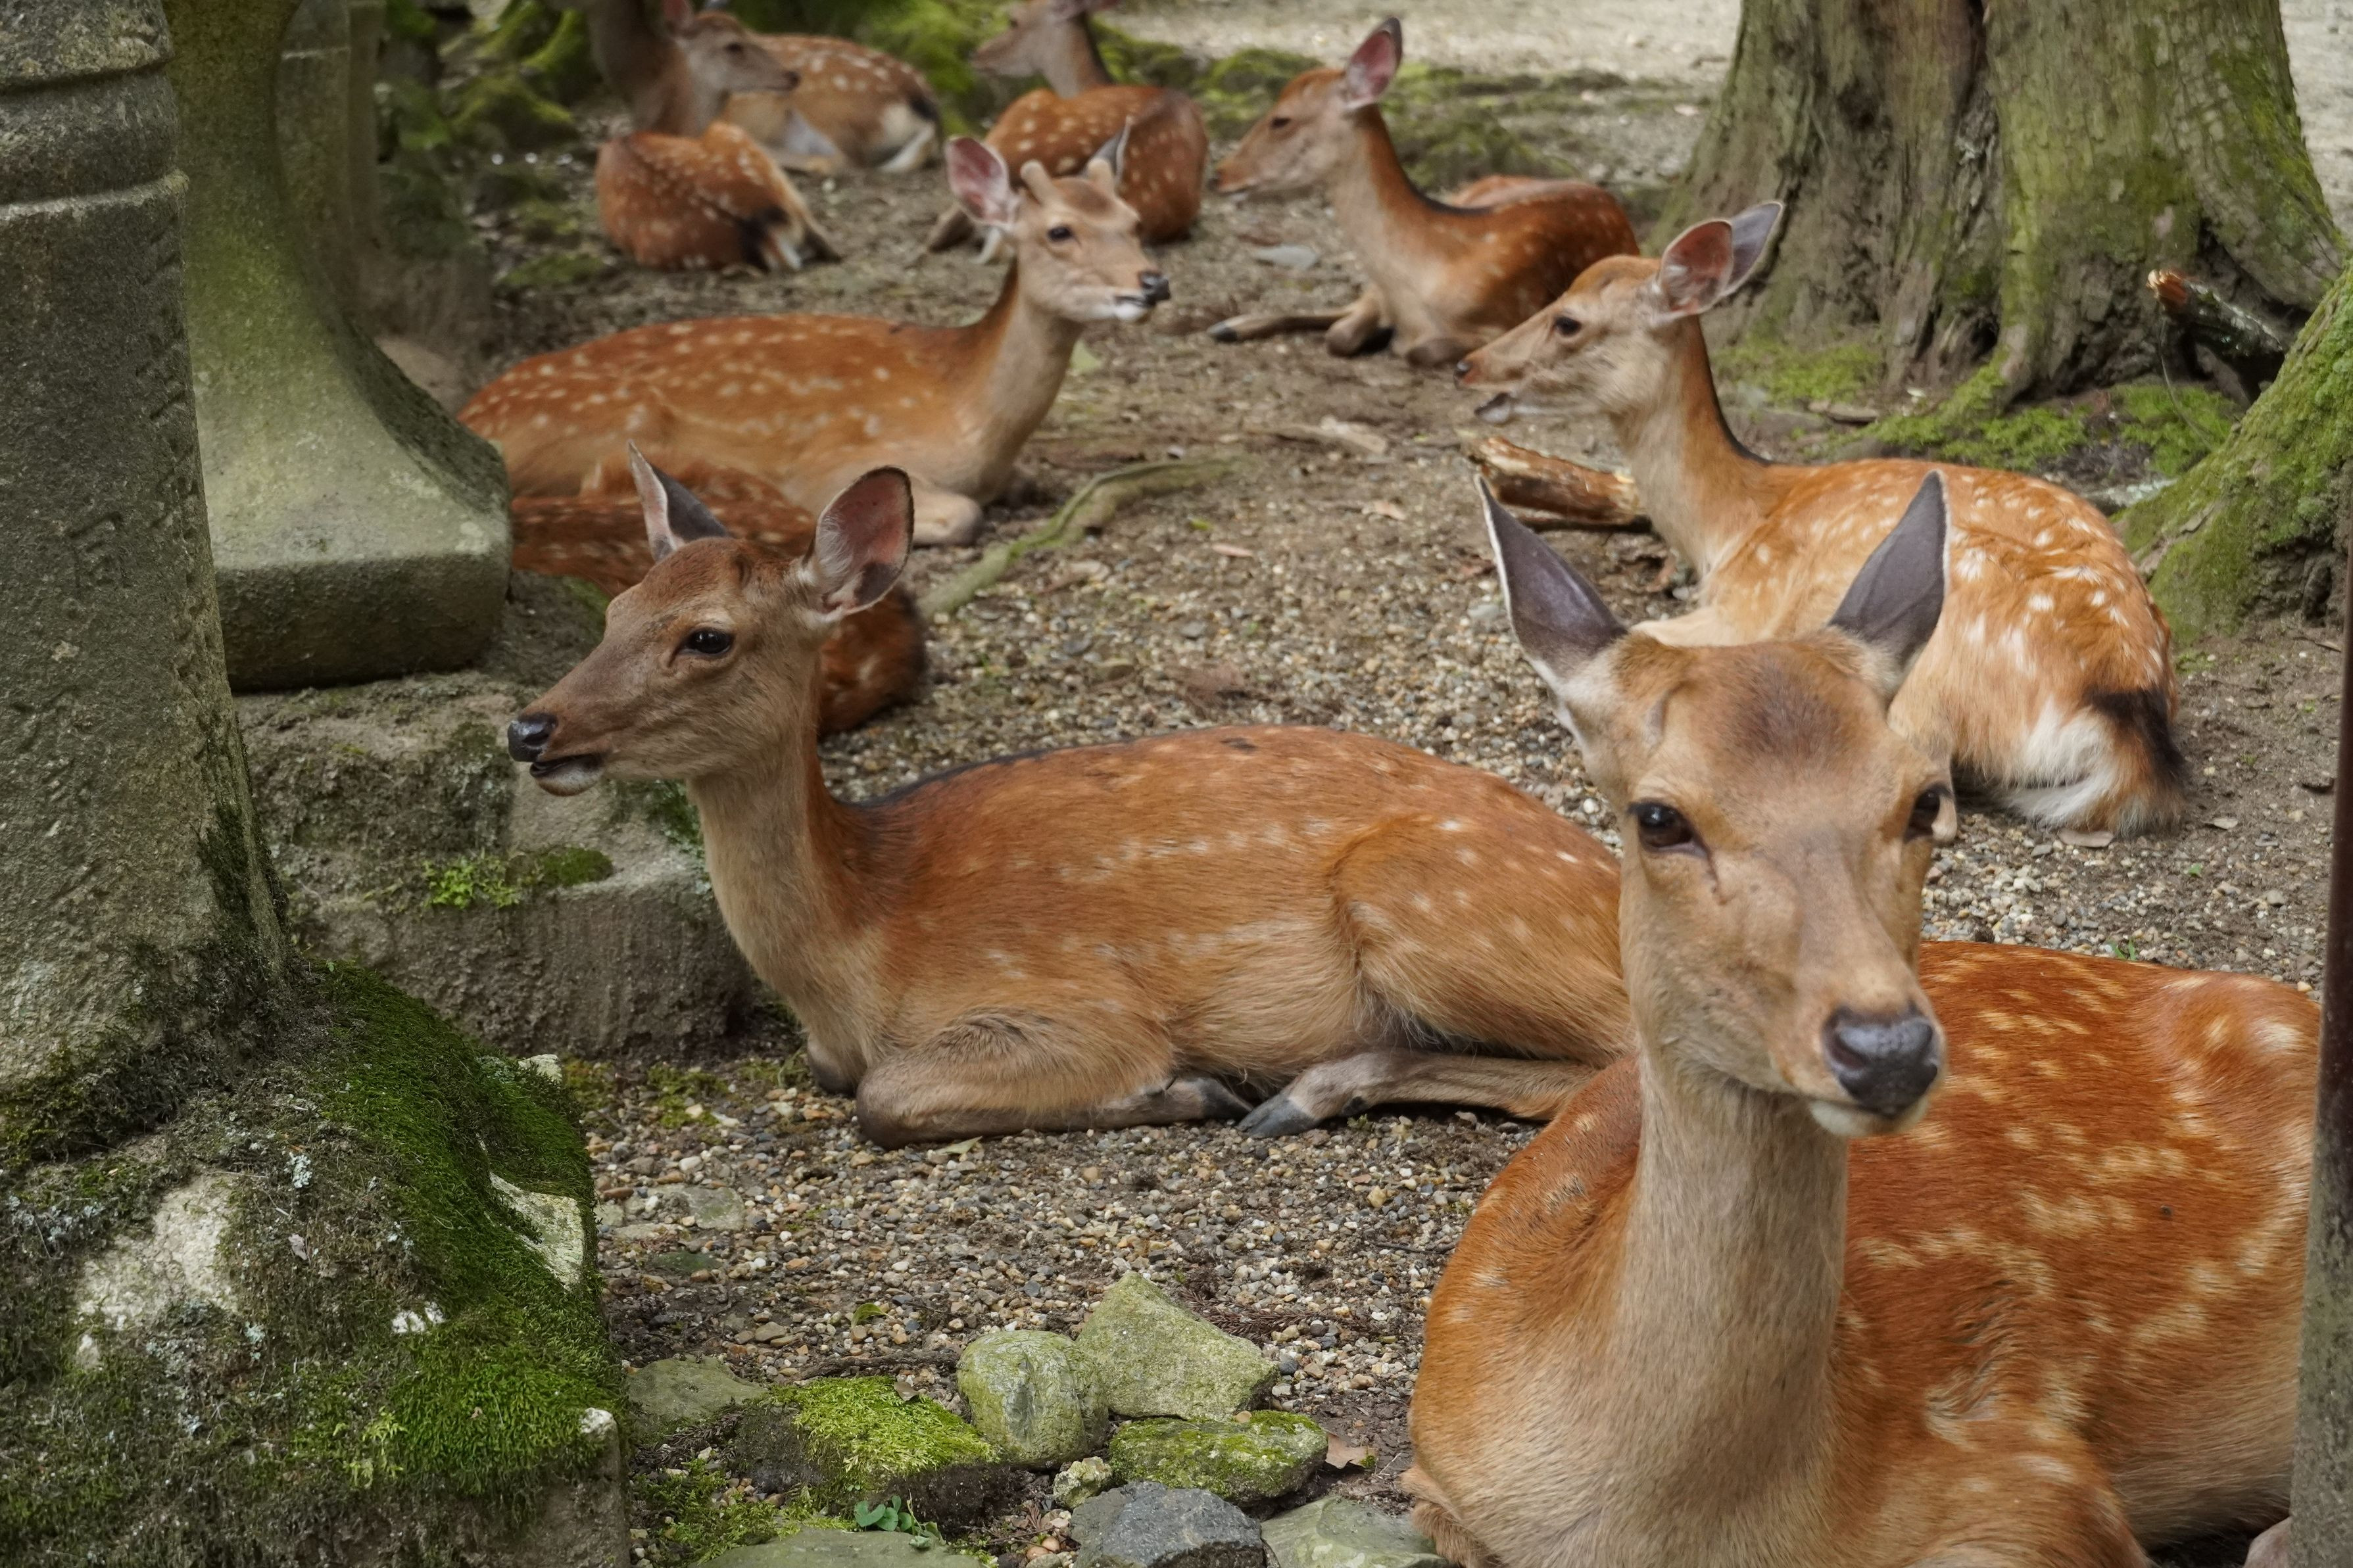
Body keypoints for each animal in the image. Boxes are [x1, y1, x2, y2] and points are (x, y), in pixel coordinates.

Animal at [461, 138, 1169, 546]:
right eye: (1059, 231)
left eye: (1135, 222)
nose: (1154, 282)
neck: (970, 414)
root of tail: (472, 414)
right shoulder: (838, 459)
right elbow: (964, 514)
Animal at [1206, 19, 1638, 368]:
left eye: (1282, 120)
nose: (1218, 175)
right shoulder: (1383, 298)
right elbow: (1341, 335)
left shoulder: (1507, 321)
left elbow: (1417, 350)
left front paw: (1395, 342)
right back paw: (1228, 325)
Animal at [1461, 204, 2187, 837]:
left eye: (1568, 321)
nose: (1468, 365)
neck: (1729, 526)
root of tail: (2125, 710)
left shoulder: (1747, 607)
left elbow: (1642, 634)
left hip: (1926, 677)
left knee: (1936, 807)